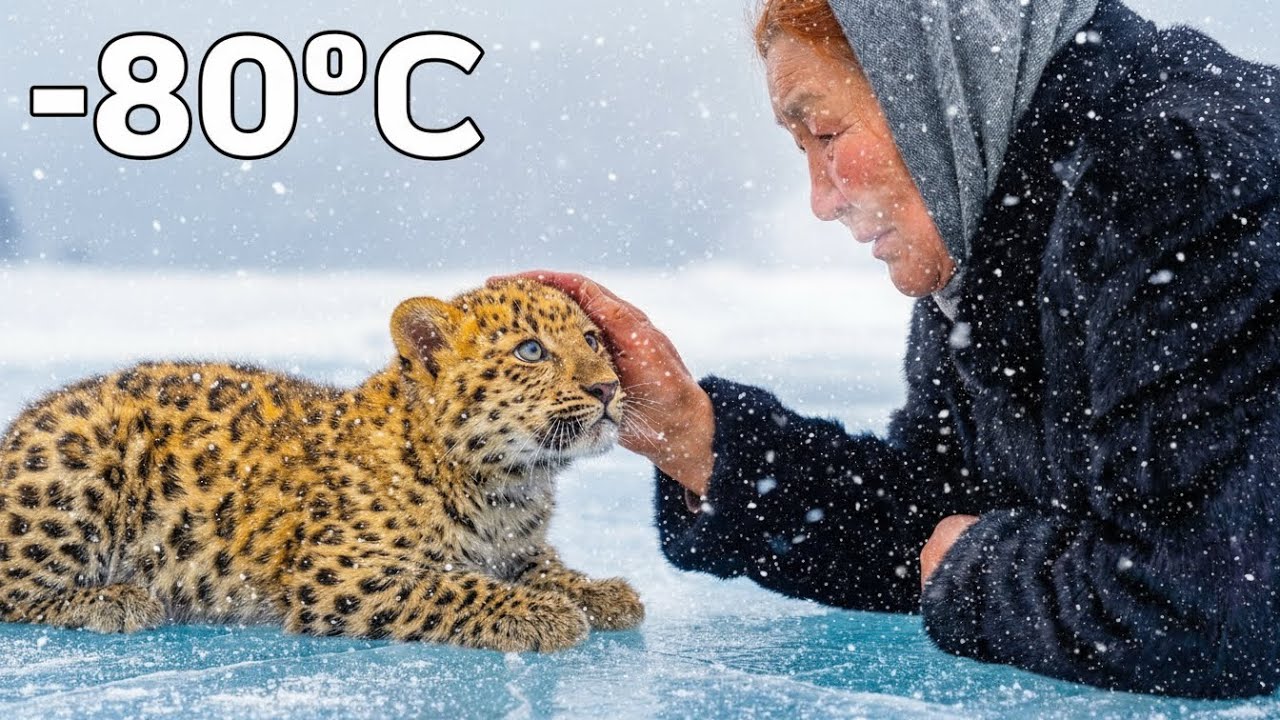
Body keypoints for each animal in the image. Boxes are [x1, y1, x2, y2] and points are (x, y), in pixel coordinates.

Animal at [0, 278, 644, 651]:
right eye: (531, 351)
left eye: (593, 339)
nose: (608, 387)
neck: (510, 483)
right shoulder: (341, 574)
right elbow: (456, 588)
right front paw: (544, 613)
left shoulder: (517, 544)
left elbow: (542, 566)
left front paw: (601, 592)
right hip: (84, 454)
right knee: (13, 587)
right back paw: (116, 600)